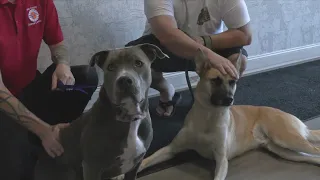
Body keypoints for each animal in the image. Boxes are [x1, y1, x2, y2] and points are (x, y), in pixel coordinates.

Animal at [33, 43, 168, 180]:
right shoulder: (92, 168)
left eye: (138, 63)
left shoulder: (135, 164)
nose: (124, 80)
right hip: (68, 172)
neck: (129, 118)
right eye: (111, 67)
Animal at [137, 48, 320, 179]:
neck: (208, 116)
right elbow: (144, 162)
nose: (229, 100)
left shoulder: (221, 160)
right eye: (215, 80)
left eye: (233, 82)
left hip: (287, 139)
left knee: (315, 149)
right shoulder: (171, 149)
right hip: (284, 150)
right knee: (313, 156)